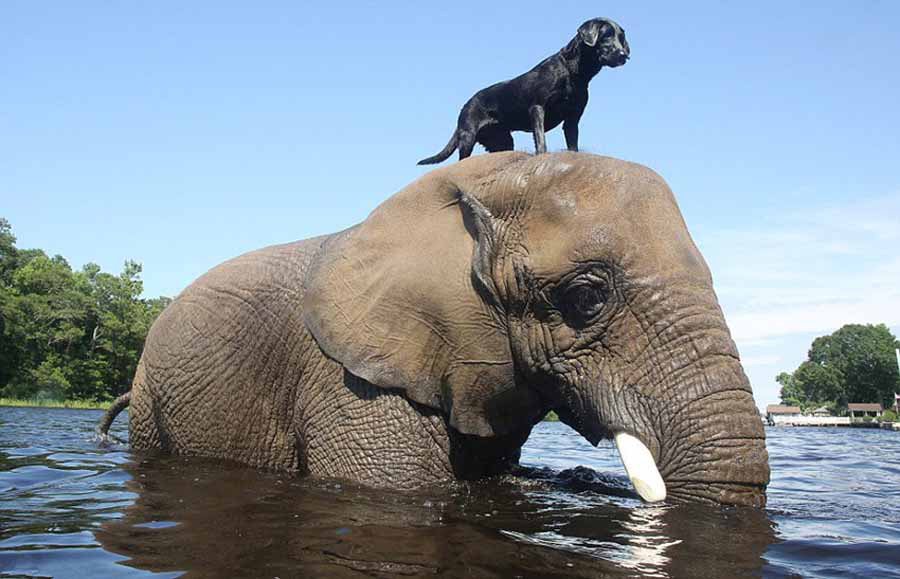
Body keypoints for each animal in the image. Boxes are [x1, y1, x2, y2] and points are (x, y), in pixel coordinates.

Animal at [418, 17, 628, 165]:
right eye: (606, 35)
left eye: (621, 37)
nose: (624, 55)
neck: (572, 71)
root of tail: (465, 105)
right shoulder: (538, 108)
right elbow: (541, 139)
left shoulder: (572, 118)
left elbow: (573, 144)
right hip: (468, 137)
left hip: (503, 141)